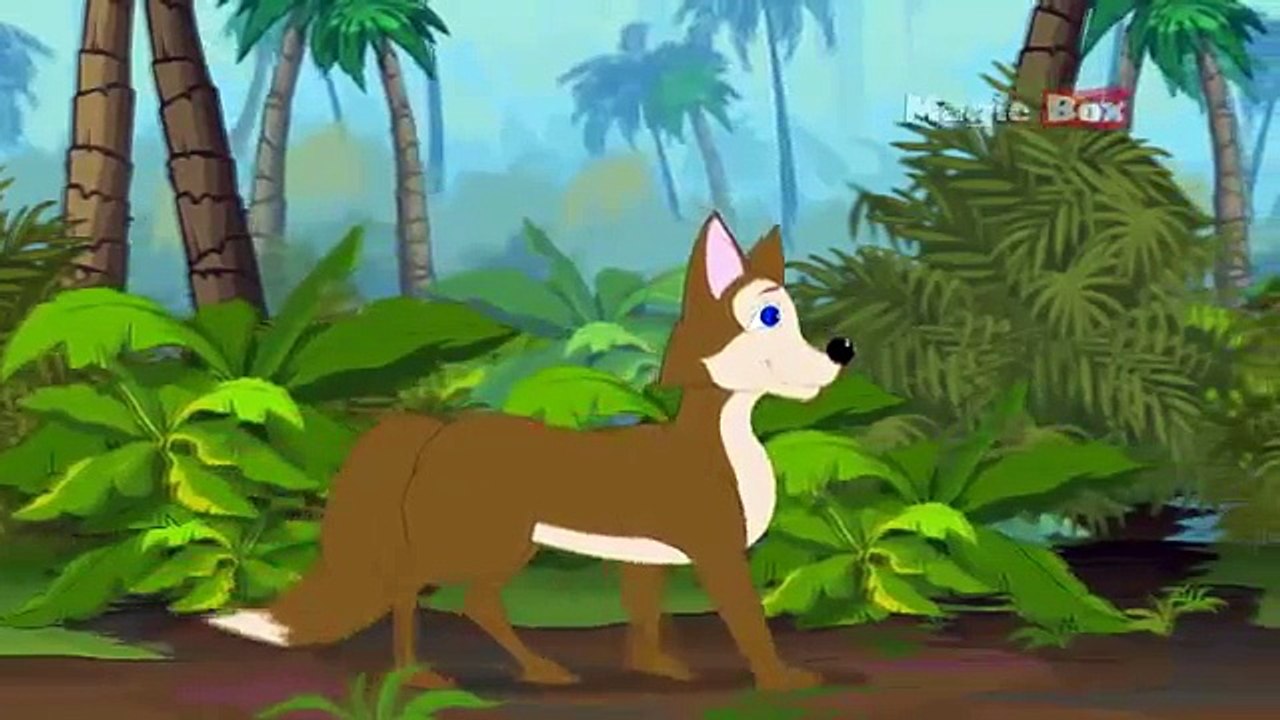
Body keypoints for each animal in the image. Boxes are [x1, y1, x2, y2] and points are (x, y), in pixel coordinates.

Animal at [206, 212, 855, 691]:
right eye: (771, 316)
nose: (841, 350)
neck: (719, 447)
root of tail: (435, 428)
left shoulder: (644, 560)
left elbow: (645, 617)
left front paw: (655, 668)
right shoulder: (717, 554)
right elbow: (749, 624)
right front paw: (779, 680)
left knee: (472, 603)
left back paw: (532, 669)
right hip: (485, 543)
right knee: (425, 592)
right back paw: (422, 677)